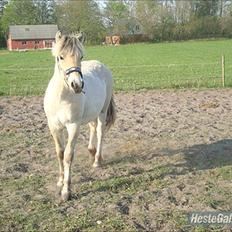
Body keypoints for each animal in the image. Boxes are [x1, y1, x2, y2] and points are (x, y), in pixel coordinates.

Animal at [43, 31, 116, 201]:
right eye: (60, 57)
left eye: (81, 56)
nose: (76, 85)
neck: (62, 97)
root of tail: (100, 65)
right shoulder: (54, 127)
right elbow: (60, 153)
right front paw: (60, 180)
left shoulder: (73, 126)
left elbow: (68, 155)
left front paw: (66, 191)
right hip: (92, 113)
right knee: (92, 128)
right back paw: (91, 151)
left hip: (102, 112)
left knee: (100, 132)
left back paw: (97, 160)